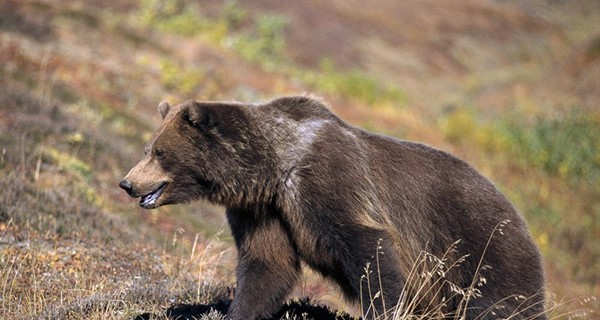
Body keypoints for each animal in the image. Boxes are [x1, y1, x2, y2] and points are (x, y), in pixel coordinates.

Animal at [119, 95, 548, 320]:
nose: (127, 183)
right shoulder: (265, 210)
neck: (273, 166)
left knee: (499, 303)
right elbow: (266, 265)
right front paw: (239, 311)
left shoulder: (327, 183)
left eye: (159, 152)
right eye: (148, 148)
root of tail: (521, 217)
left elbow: (370, 253)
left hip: (481, 249)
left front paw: (388, 308)